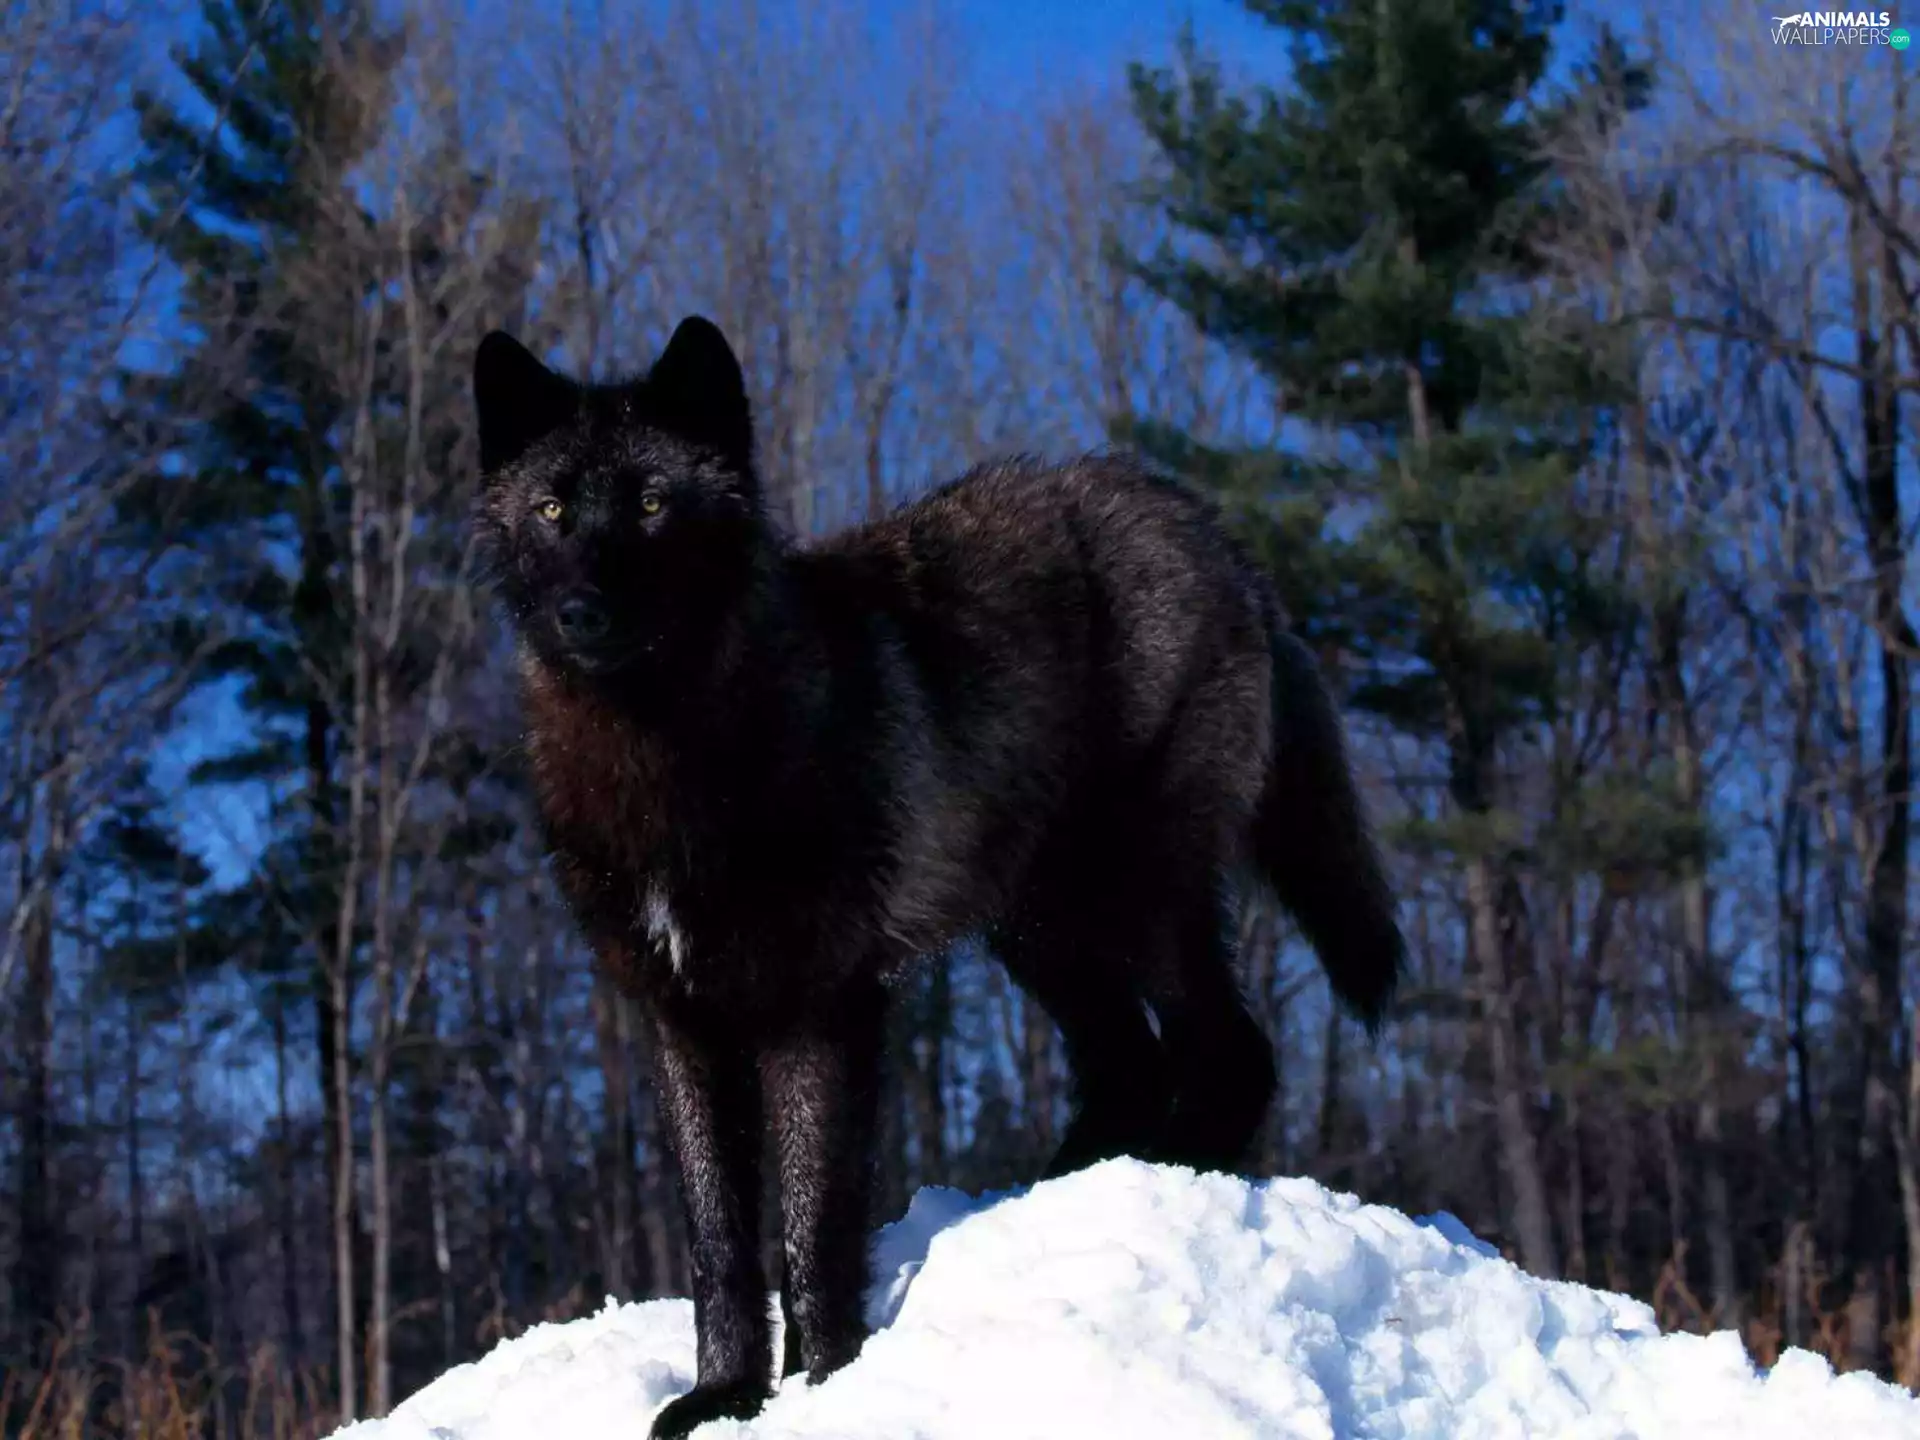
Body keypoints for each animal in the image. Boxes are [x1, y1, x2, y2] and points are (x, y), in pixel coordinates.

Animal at [471, 316, 1404, 1438]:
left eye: (653, 504)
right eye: (553, 509)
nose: (582, 612)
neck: (673, 757)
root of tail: (1210, 528)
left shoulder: (820, 1009)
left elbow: (813, 1223)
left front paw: (830, 1383)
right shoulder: (683, 1024)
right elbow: (719, 1244)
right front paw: (726, 1395)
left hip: (1142, 898)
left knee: (1232, 1053)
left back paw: (1175, 1174)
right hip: (1042, 929)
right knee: (1130, 1067)